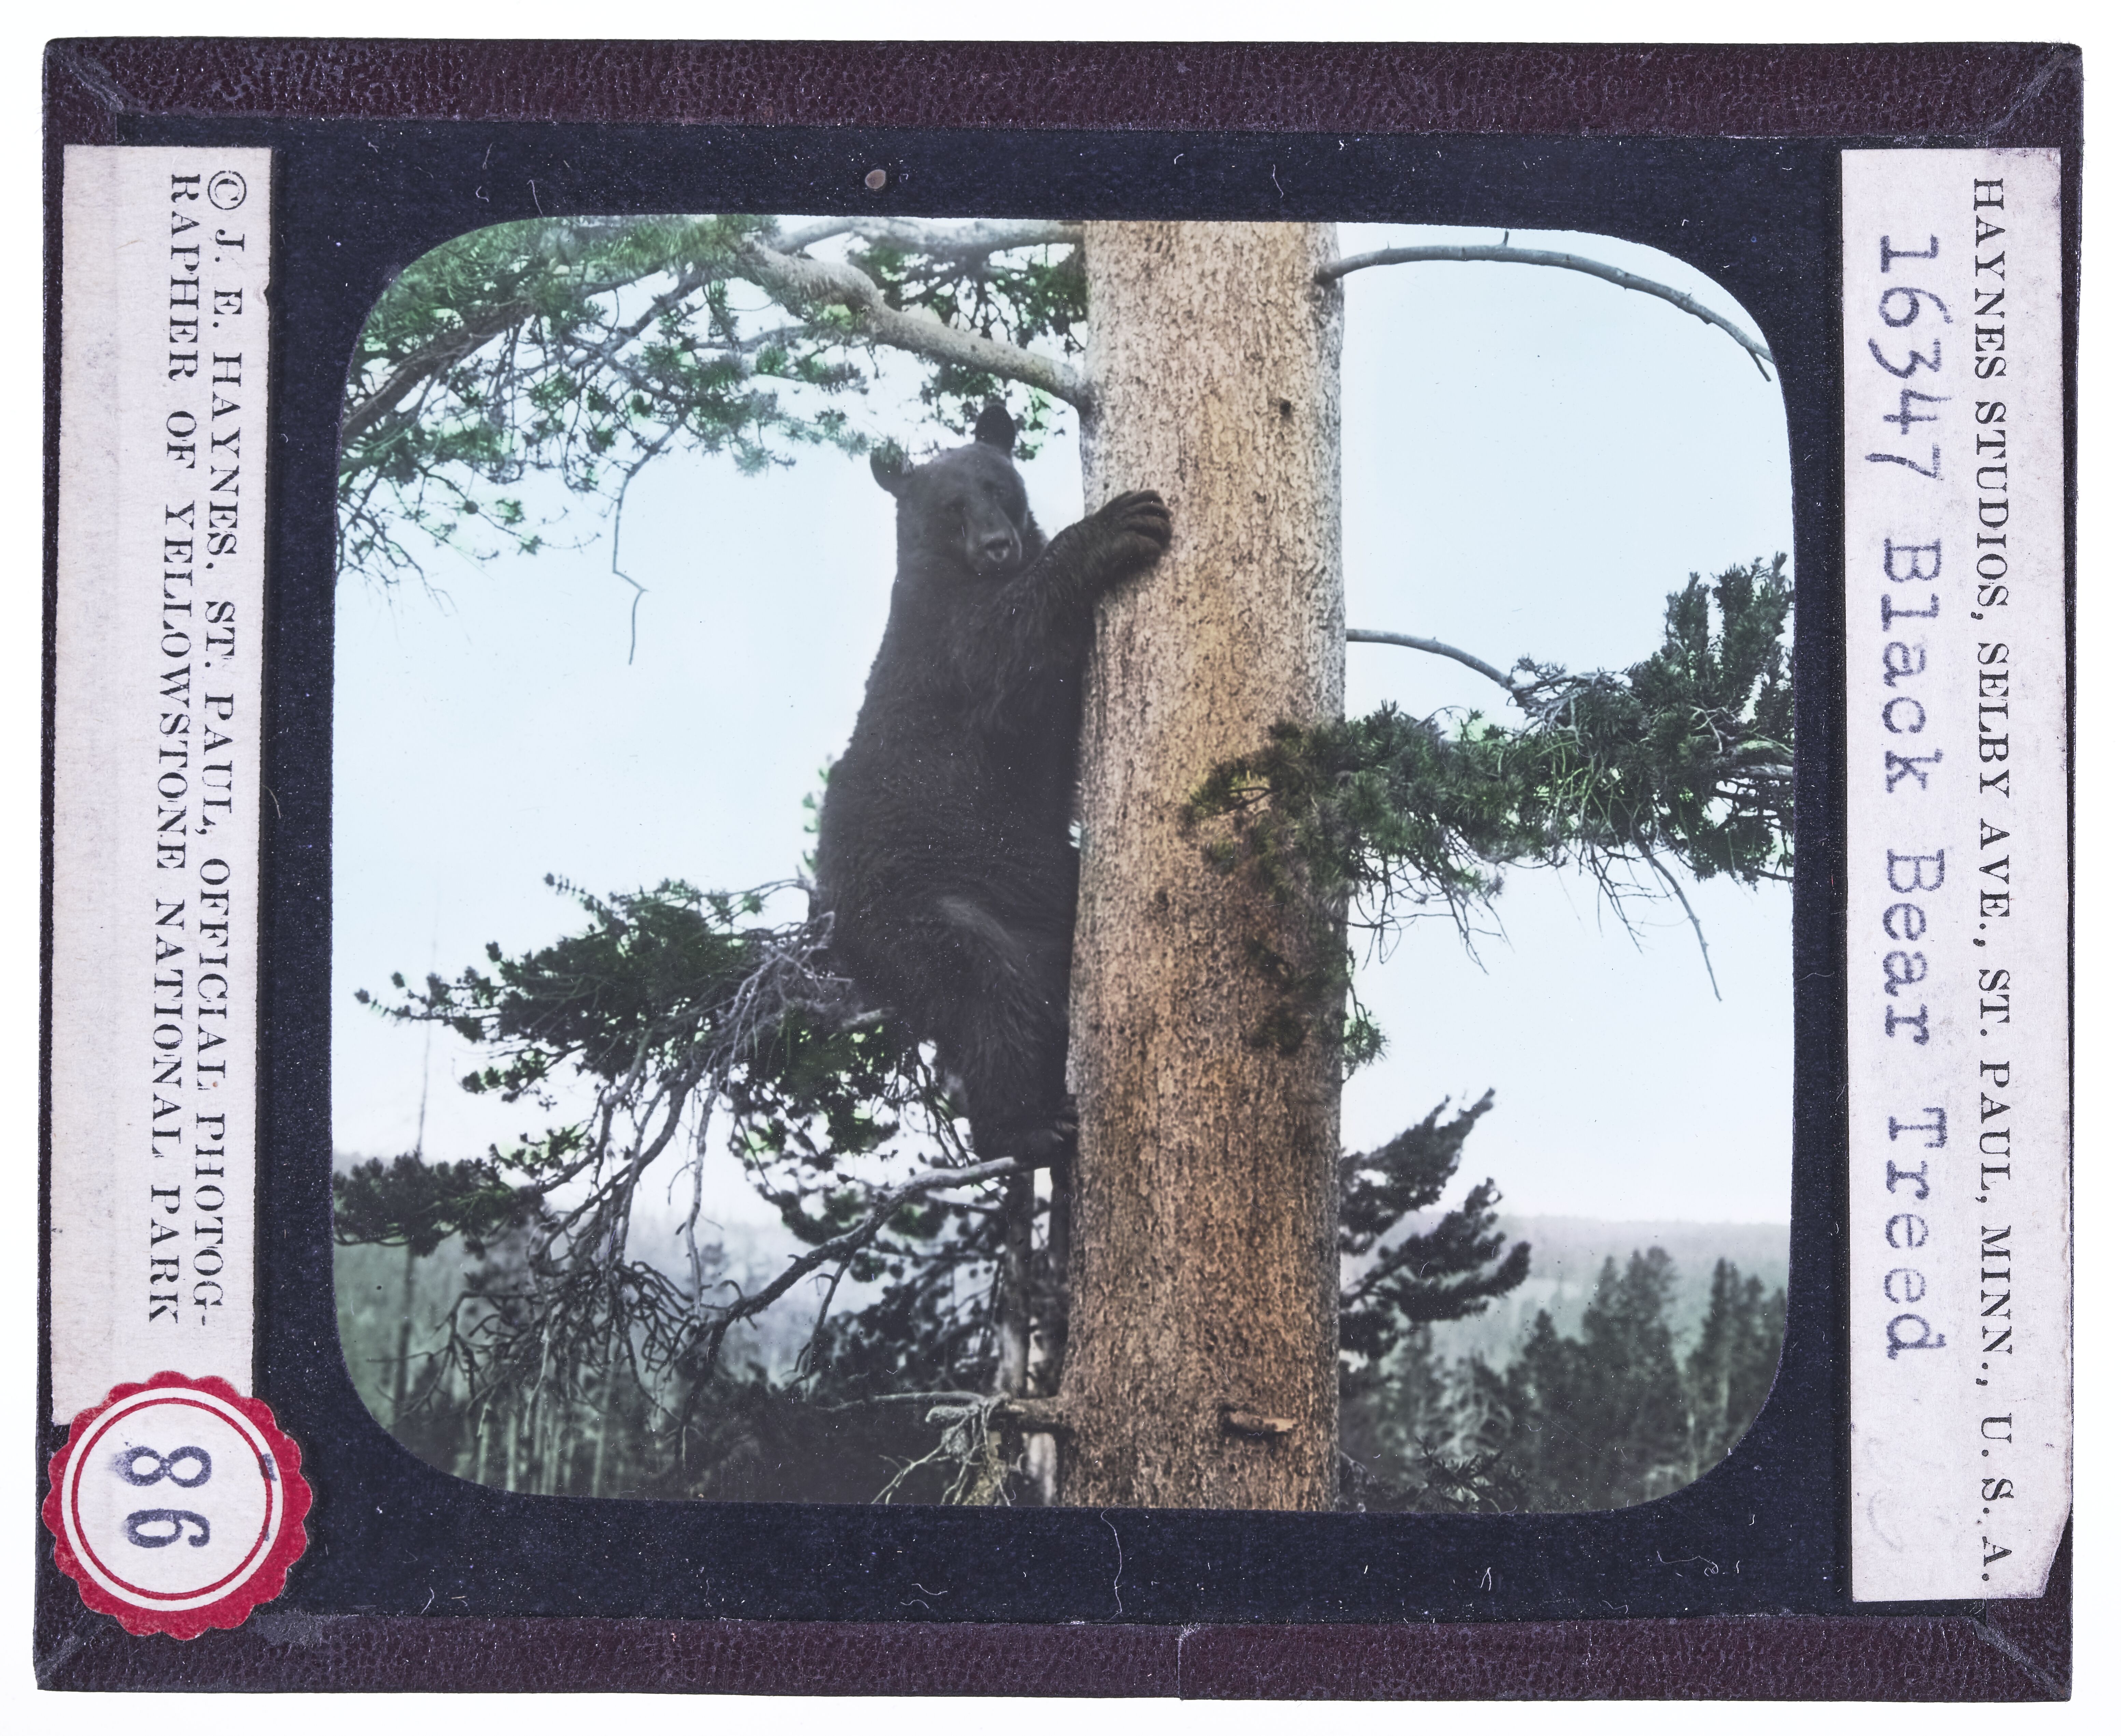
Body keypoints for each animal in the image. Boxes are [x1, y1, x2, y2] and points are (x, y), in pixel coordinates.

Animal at [814, 402, 1171, 1165]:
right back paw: (1026, 1126)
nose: (998, 545)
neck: (961, 573)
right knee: (981, 987)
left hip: (1040, 895)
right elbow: (1006, 651)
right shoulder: (943, 643)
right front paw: (1119, 525)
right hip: (914, 908)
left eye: (998, 487)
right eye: (950, 507)